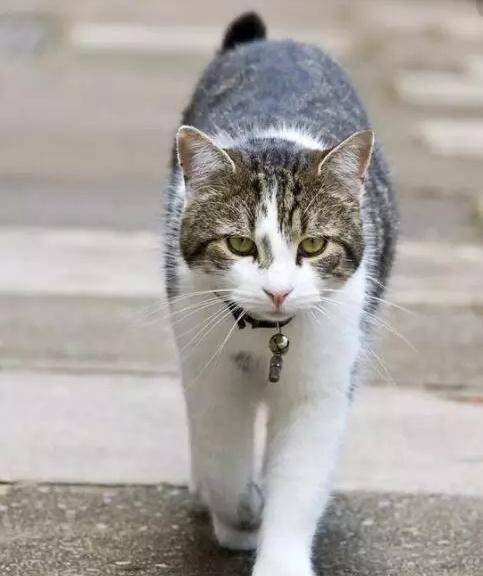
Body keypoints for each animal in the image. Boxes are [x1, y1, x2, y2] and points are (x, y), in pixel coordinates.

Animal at [164, 12, 398, 576]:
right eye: (240, 244)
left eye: (313, 245)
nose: (277, 291)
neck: (268, 337)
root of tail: (272, 43)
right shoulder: (210, 369)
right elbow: (222, 458)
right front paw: (241, 512)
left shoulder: (324, 379)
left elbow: (299, 478)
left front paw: (280, 556)